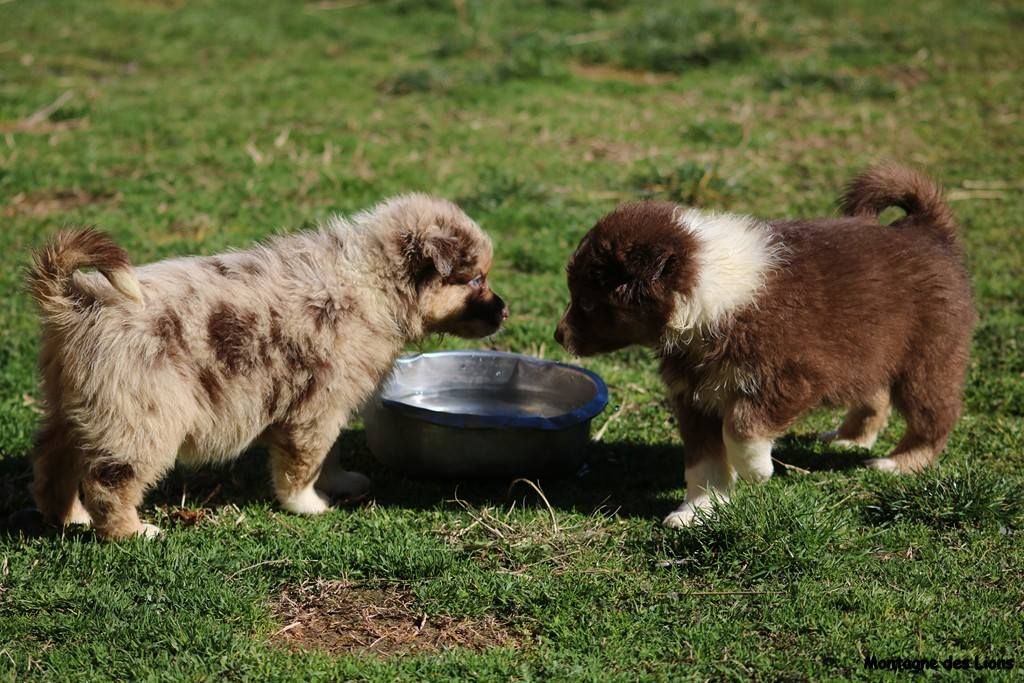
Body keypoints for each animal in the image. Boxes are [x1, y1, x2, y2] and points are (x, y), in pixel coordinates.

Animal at [29, 193, 509, 540]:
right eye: (476, 280)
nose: (505, 311)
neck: (373, 282)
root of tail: (80, 301)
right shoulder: (316, 407)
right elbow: (304, 463)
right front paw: (308, 505)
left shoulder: (328, 406)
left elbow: (330, 454)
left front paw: (340, 482)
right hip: (141, 418)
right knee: (109, 483)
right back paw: (131, 531)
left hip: (77, 408)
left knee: (54, 463)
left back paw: (68, 517)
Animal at [557, 165, 970, 528]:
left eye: (588, 303)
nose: (558, 336)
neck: (707, 295)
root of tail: (926, 229)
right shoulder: (694, 396)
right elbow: (703, 463)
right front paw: (698, 511)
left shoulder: (789, 379)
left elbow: (741, 427)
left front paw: (756, 470)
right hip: (871, 350)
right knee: (876, 395)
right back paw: (850, 439)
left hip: (927, 357)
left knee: (935, 416)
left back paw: (899, 463)